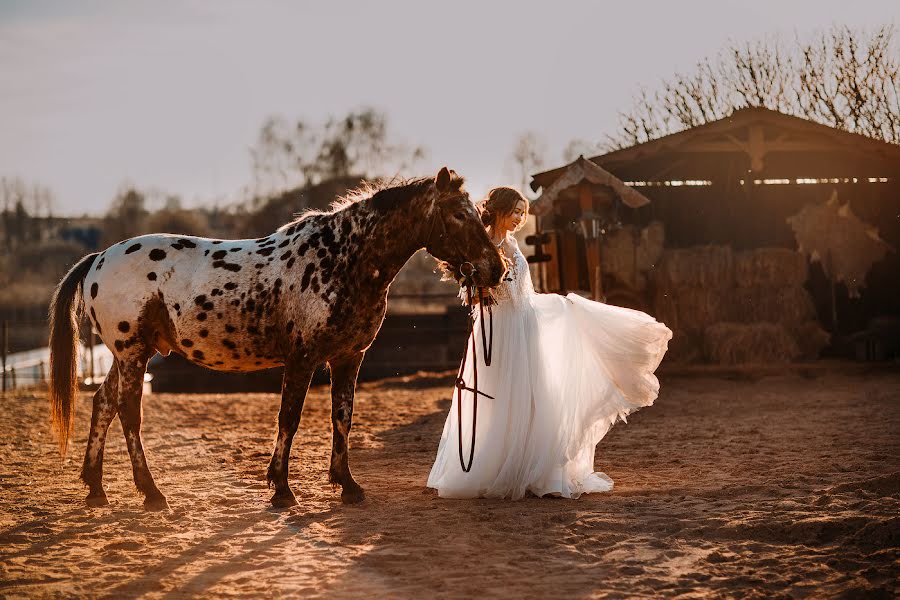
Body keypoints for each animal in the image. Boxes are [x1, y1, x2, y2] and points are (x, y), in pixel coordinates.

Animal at [49, 166, 506, 508]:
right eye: (459, 215)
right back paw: (151, 493)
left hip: (126, 356)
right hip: (133, 354)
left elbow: (342, 417)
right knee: (128, 412)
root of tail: (100, 258)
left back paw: (96, 489)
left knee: (103, 403)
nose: (495, 269)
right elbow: (289, 418)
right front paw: (282, 489)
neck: (343, 259)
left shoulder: (348, 358)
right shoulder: (302, 360)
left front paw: (347, 484)